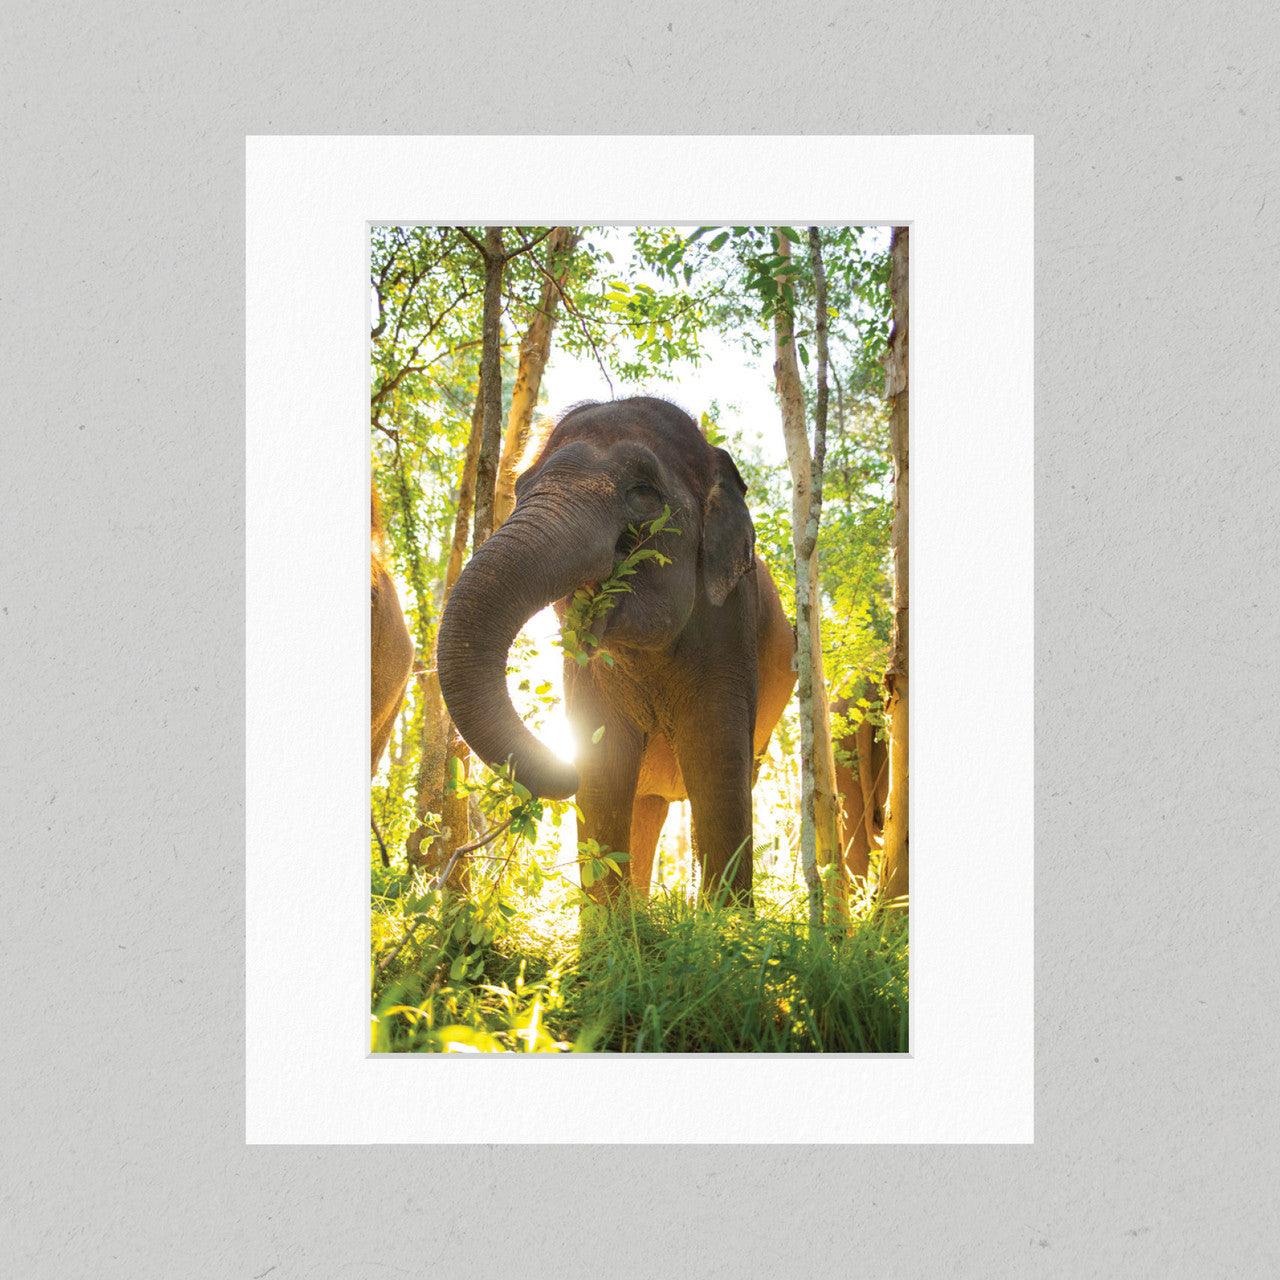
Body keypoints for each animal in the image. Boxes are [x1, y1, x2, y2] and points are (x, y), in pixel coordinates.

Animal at [437, 397, 796, 907]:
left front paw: (726, 924)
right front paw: (614, 928)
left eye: (643, 491)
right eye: (521, 489)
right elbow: (604, 770)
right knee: (648, 805)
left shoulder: (731, 625)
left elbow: (717, 761)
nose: (561, 770)